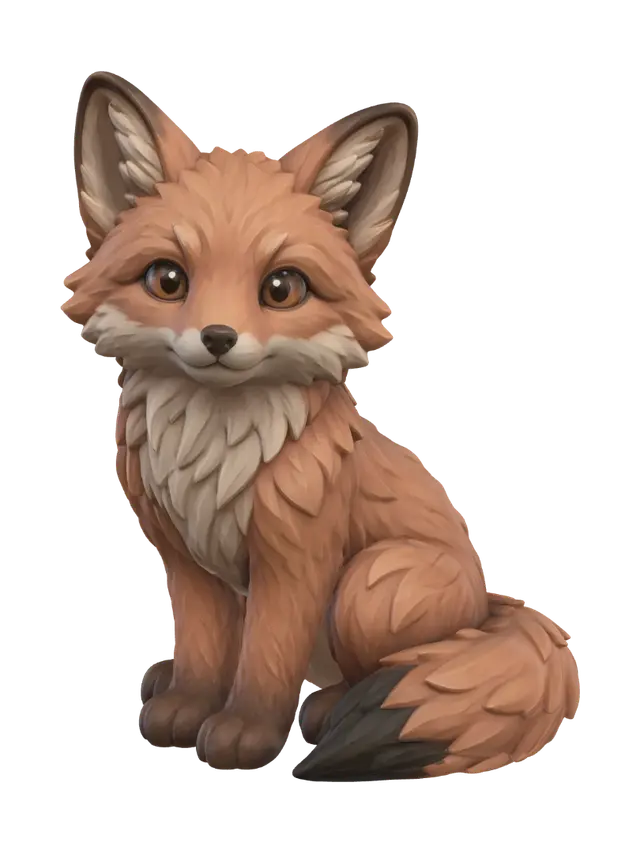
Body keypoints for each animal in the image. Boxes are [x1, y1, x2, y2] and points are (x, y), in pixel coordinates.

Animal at [62, 71, 581, 782]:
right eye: (167, 279)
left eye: (282, 289)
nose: (218, 338)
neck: (211, 457)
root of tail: (488, 598)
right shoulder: (185, 562)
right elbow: (201, 649)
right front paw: (187, 706)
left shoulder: (296, 561)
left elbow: (266, 661)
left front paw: (247, 732)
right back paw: (167, 680)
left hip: (372, 586)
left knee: (371, 672)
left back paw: (331, 712)